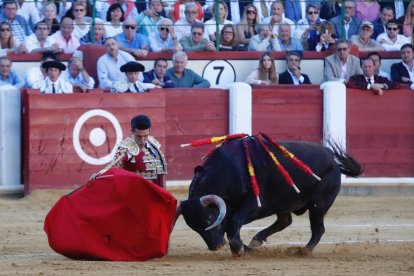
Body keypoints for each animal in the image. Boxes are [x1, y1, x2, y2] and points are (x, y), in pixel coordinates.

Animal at [175, 136, 362, 256]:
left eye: (209, 219)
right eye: (194, 227)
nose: (216, 246)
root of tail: (334, 161)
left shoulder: (255, 205)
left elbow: (233, 223)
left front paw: (239, 249)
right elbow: (230, 226)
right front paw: (245, 248)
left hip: (319, 204)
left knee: (318, 229)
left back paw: (304, 250)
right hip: (285, 202)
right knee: (285, 221)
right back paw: (257, 241)